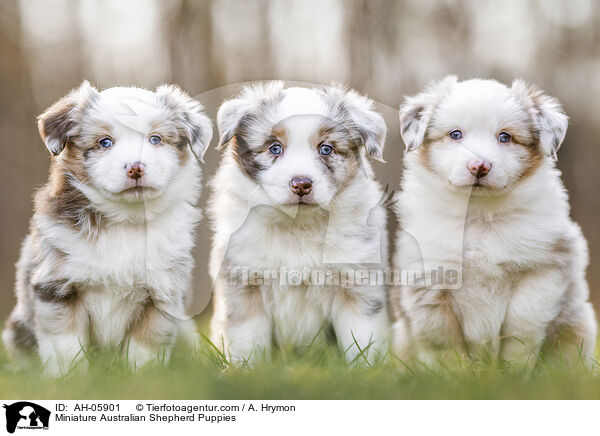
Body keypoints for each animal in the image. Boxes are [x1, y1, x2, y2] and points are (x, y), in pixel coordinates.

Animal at [1, 82, 213, 378]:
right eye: (105, 142)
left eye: (155, 139)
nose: (135, 168)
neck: (125, 220)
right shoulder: (57, 289)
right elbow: (67, 347)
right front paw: (70, 379)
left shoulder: (162, 294)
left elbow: (144, 348)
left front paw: (142, 378)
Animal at [210, 81, 390, 364]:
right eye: (274, 148)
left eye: (326, 149)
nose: (301, 184)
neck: (297, 225)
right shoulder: (244, 282)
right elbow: (247, 342)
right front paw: (247, 370)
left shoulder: (357, 284)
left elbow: (362, 341)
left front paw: (370, 370)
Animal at [394, 76, 596, 368]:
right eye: (455, 134)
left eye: (505, 137)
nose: (480, 166)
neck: (480, 216)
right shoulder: (430, 281)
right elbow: (443, 341)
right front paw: (455, 373)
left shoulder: (544, 268)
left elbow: (522, 322)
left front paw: (514, 369)